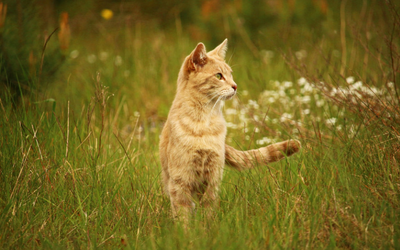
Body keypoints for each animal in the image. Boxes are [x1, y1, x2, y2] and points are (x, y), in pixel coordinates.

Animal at [159, 40, 300, 224]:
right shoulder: (180, 180)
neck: (204, 122)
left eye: (231, 74)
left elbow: (208, 208)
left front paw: (206, 227)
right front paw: (187, 230)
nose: (235, 86)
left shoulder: (213, 177)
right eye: (219, 76)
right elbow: (183, 215)